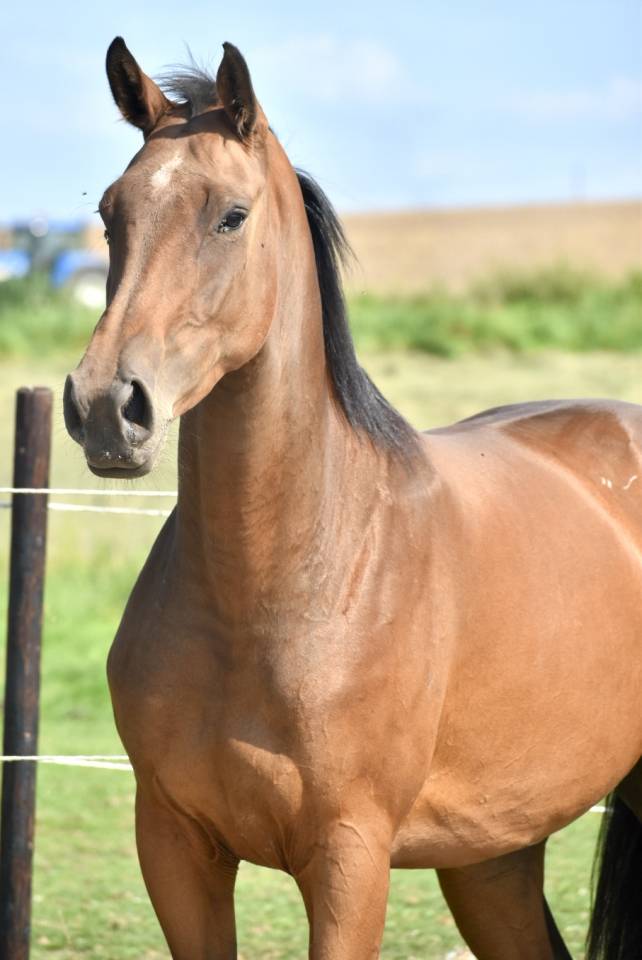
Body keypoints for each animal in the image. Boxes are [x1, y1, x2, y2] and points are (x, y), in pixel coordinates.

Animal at [63, 37, 642, 959]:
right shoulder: (175, 847)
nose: (107, 408)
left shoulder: (349, 860)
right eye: (113, 213)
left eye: (230, 216)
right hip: (493, 855)